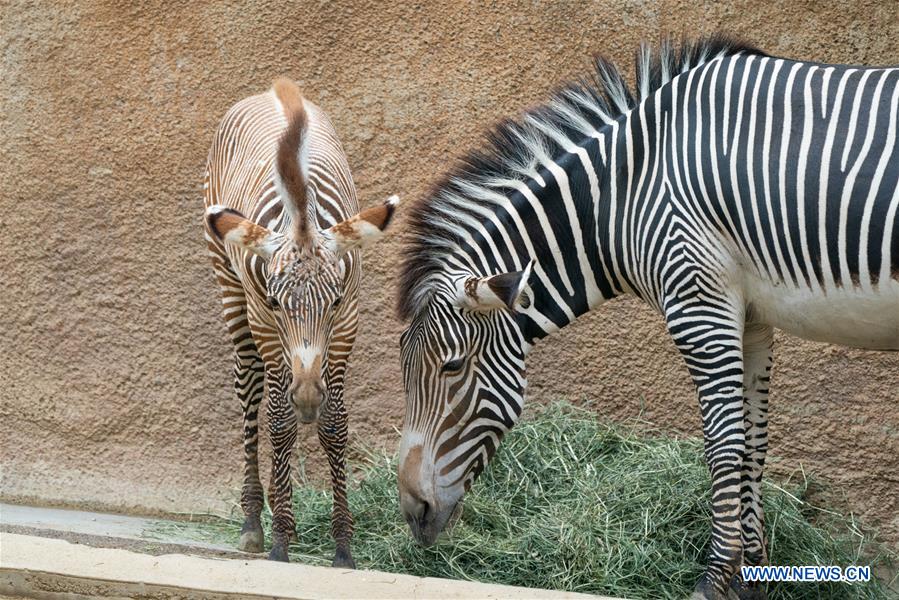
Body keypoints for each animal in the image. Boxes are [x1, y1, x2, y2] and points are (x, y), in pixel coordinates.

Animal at [206, 78, 400, 568]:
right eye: (277, 303)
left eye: (333, 301)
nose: (308, 396)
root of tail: (270, 91)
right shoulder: (264, 320)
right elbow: (279, 422)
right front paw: (280, 541)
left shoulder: (348, 321)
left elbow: (335, 424)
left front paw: (343, 547)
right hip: (230, 292)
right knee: (250, 393)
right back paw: (254, 520)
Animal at [398, 35, 896, 596]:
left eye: (452, 366)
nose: (412, 511)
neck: (626, 194)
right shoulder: (750, 319)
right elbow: (753, 446)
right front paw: (751, 579)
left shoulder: (697, 304)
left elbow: (723, 448)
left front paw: (712, 581)